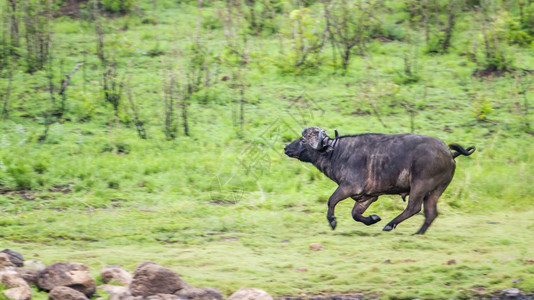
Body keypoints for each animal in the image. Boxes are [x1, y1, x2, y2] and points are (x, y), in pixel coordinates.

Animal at [284, 126, 478, 234]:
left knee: (414, 208)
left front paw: (332, 221)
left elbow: (331, 201)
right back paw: (417, 233)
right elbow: (355, 214)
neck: (336, 153)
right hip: (435, 191)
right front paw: (373, 218)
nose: (286, 147)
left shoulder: (349, 187)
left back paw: (390, 225)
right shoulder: (367, 197)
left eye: (303, 140)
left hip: (420, 185)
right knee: (431, 213)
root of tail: (448, 152)